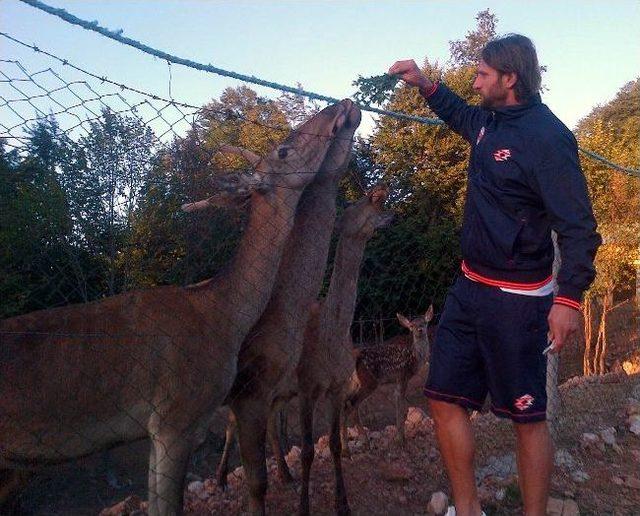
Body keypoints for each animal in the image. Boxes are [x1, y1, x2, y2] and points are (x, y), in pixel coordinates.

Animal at [340, 304, 436, 450]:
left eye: (424, 322)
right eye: (411, 325)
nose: (419, 330)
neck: (414, 358)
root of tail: (355, 358)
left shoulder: (396, 380)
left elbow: (398, 404)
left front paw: (399, 437)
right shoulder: (403, 376)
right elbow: (401, 406)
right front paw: (401, 440)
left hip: (354, 383)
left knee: (347, 404)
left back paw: (355, 444)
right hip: (369, 382)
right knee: (350, 405)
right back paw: (352, 447)